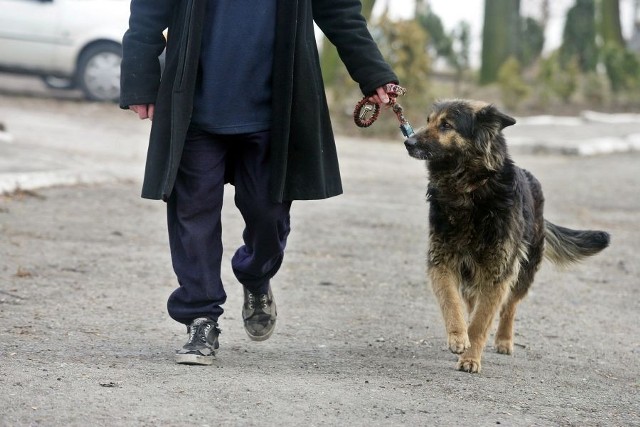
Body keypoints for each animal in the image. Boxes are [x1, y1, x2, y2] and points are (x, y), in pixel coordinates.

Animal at [404, 100, 608, 374]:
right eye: (429, 121)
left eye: (446, 125)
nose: (408, 142)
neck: (468, 189)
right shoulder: (442, 261)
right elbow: (451, 301)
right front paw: (458, 336)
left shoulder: (498, 272)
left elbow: (481, 322)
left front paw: (470, 358)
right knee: (472, 303)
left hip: (524, 270)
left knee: (509, 307)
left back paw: (503, 340)